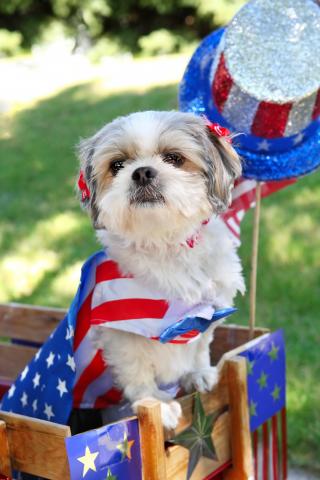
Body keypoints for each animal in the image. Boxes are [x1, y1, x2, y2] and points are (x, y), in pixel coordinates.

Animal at [78, 109, 245, 428]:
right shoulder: (121, 331)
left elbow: (200, 345)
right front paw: (157, 403)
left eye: (174, 158)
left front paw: (198, 373)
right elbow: (136, 370)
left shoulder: (207, 311)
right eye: (117, 165)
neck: (166, 244)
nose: (142, 172)